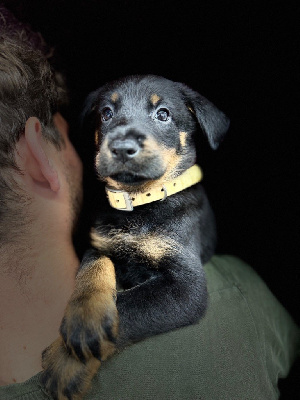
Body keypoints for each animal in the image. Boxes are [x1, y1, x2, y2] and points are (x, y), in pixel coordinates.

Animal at [41, 76, 230, 400]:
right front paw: (86, 315)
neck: (139, 203)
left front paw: (66, 358)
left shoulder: (187, 285)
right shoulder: (99, 243)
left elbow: (131, 306)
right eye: (106, 113)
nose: (121, 147)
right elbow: (94, 267)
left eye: (163, 114)